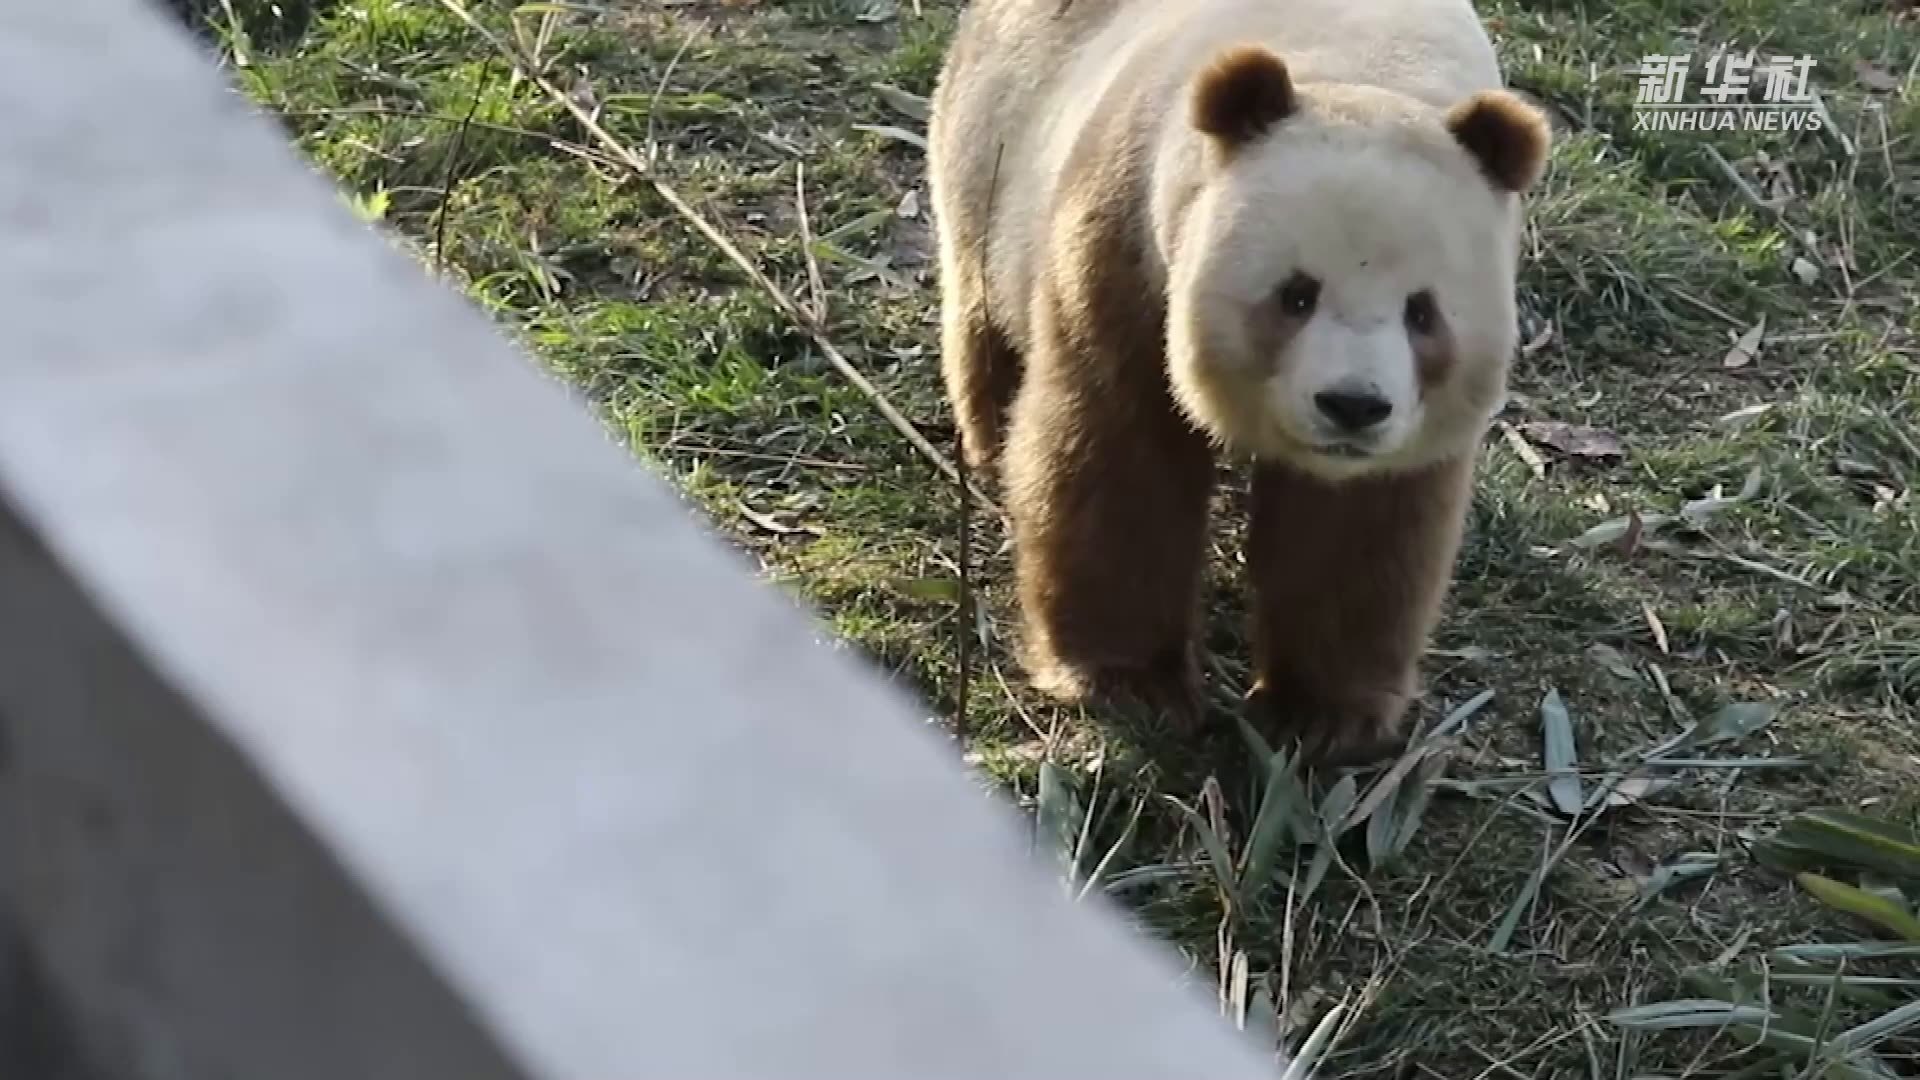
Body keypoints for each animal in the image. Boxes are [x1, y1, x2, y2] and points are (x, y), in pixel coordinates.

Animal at [926, 0, 1550, 764]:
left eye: (1423, 312)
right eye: (1296, 294)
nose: (1352, 406)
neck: (1366, 71)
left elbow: (1357, 525)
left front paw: (1317, 715)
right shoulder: (1127, 234)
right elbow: (1117, 453)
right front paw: (1132, 685)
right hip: (999, 137)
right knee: (982, 308)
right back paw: (989, 442)